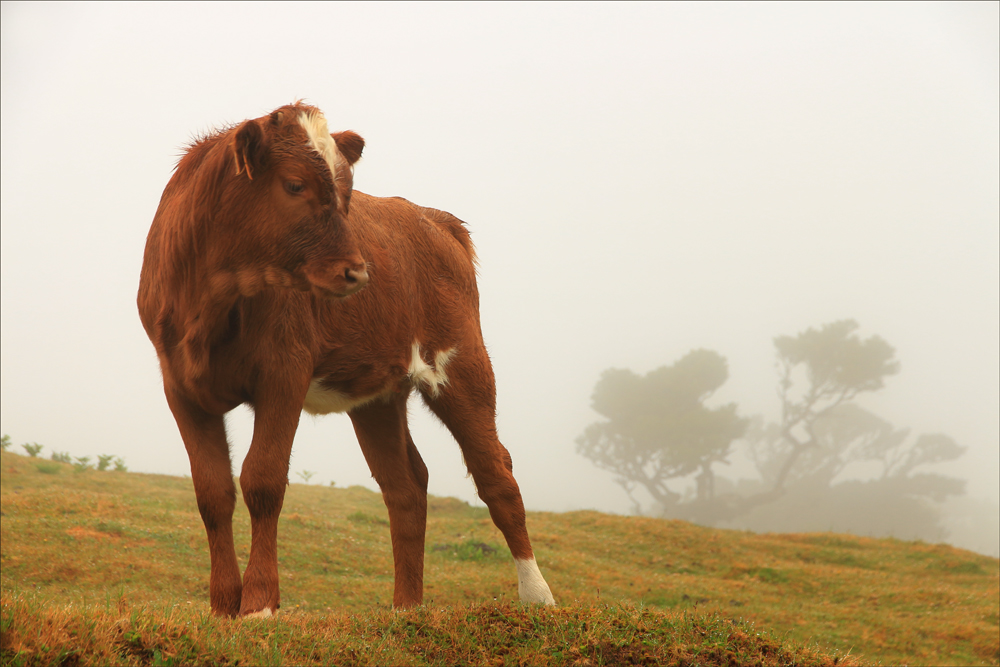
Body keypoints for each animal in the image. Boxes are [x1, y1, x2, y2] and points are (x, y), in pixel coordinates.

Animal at [137, 102, 556, 620]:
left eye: (347, 193)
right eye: (294, 184)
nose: (357, 272)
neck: (210, 302)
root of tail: (433, 219)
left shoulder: (285, 371)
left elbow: (263, 479)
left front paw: (259, 604)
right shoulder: (179, 383)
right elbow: (212, 492)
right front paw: (221, 607)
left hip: (463, 365)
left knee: (497, 475)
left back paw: (537, 596)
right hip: (377, 395)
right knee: (406, 486)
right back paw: (406, 609)